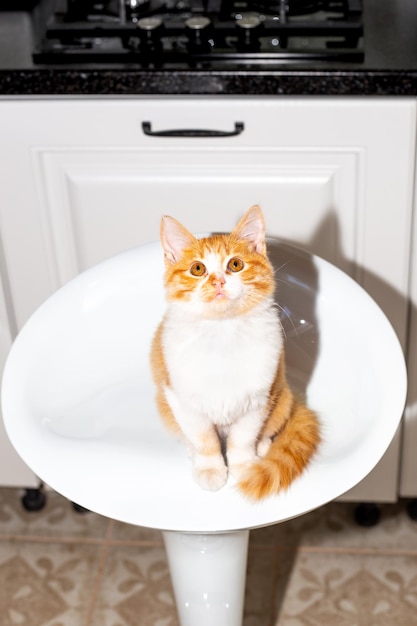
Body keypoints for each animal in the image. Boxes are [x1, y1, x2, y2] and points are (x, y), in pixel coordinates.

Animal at [150, 207, 318, 500]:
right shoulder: (180, 397)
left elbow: (244, 438)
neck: (223, 332)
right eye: (197, 269)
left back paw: (262, 446)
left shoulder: (259, 397)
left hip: (282, 395)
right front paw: (210, 468)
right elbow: (203, 439)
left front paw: (245, 465)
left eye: (236, 264)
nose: (218, 280)